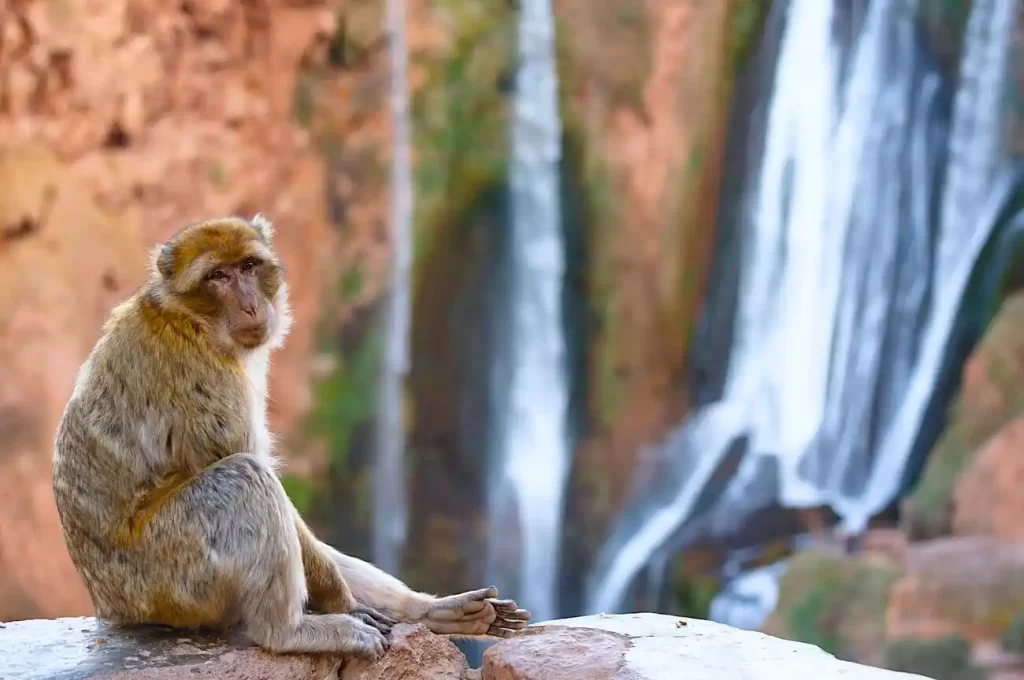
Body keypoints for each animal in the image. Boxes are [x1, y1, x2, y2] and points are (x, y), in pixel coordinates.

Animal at [51, 214, 530, 660]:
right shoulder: (202, 375)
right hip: (167, 578)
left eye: (248, 266)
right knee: (246, 478)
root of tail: (110, 606)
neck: (191, 319)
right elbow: (250, 466)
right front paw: (343, 603)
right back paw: (289, 632)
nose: (250, 305)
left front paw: (416, 610)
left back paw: (428, 611)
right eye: (217, 276)